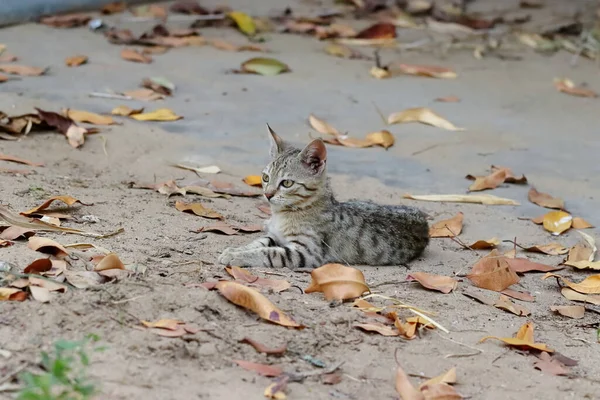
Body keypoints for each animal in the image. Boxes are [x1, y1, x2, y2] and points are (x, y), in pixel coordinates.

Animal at [218, 125, 428, 268]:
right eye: (265, 177)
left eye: (287, 183)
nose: (267, 194)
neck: (283, 215)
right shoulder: (275, 236)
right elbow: (259, 242)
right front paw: (236, 250)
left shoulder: (307, 252)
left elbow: (268, 253)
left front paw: (237, 256)